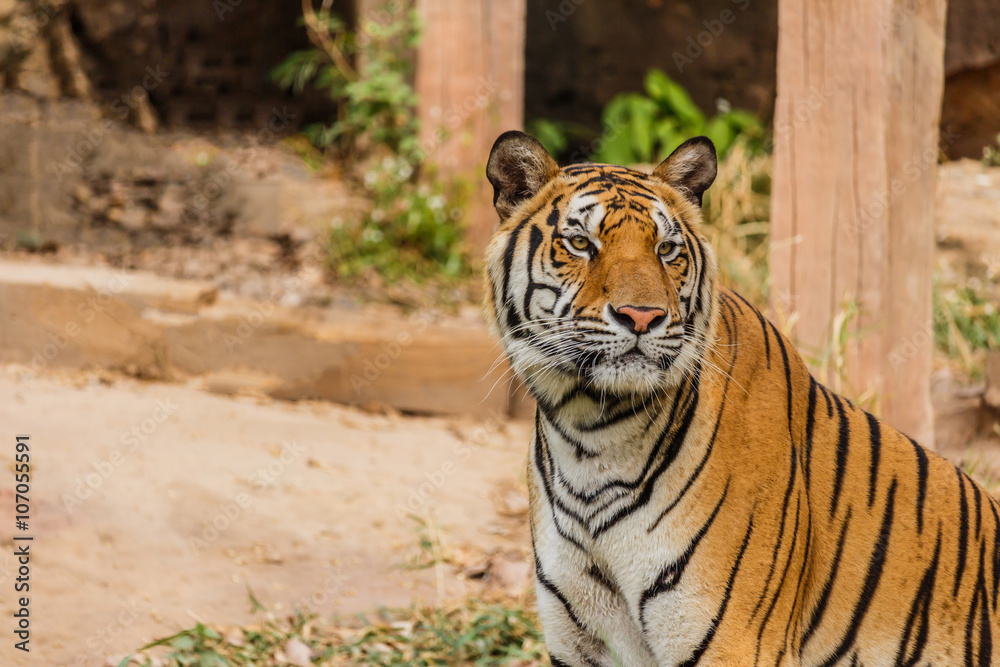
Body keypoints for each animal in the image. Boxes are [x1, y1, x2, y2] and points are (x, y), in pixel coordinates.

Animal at [482, 130, 1000, 666]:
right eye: (581, 243)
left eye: (666, 249)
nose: (643, 316)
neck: (590, 435)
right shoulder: (580, 642)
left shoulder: (734, 640)